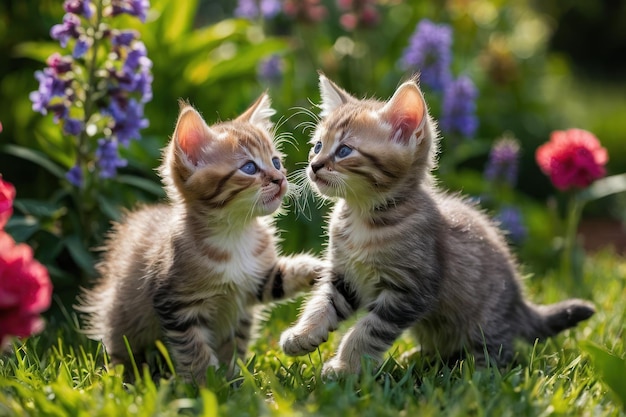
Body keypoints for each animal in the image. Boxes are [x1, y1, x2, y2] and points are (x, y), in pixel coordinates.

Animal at [77, 94, 322, 384]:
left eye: (275, 161)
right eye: (249, 167)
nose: (280, 179)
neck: (235, 234)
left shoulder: (254, 282)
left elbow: (279, 279)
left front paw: (318, 269)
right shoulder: (176, 302)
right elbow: (193, 347)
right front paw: (208, 383)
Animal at [280, 74, 596, 376]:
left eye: (344, 150)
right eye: (317, 146)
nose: (314, 166)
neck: (363, 217)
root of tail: (520, 305)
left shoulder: (411, 289)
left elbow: (368, 330)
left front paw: (345, 367)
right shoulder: (345, 276)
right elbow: (323, 303)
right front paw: (302, 334)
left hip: (485, 324)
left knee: (498, 355)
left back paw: (474, 373)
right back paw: (417, 357)